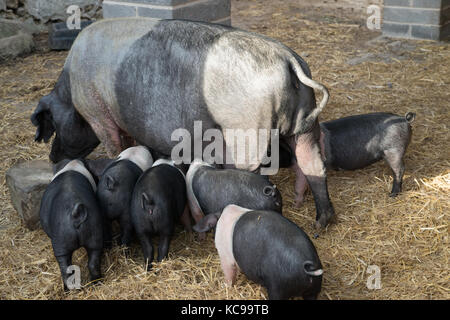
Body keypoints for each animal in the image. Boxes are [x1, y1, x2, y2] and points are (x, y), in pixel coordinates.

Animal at [30, 18, 334, 228]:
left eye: (53, 123)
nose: (52, 155)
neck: (69, 92)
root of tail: (288, 60)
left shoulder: (99, 116)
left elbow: (116, 146)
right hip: (304, 124)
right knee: (313, 164)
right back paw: (319, 222)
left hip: (247, 132)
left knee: (255, 172)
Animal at [38, 159, 103, 290]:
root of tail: (76, 214)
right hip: (94, 232)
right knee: (93, 262)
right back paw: (96, 282)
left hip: (61, 241)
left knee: (65, 269)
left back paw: (67, 289)